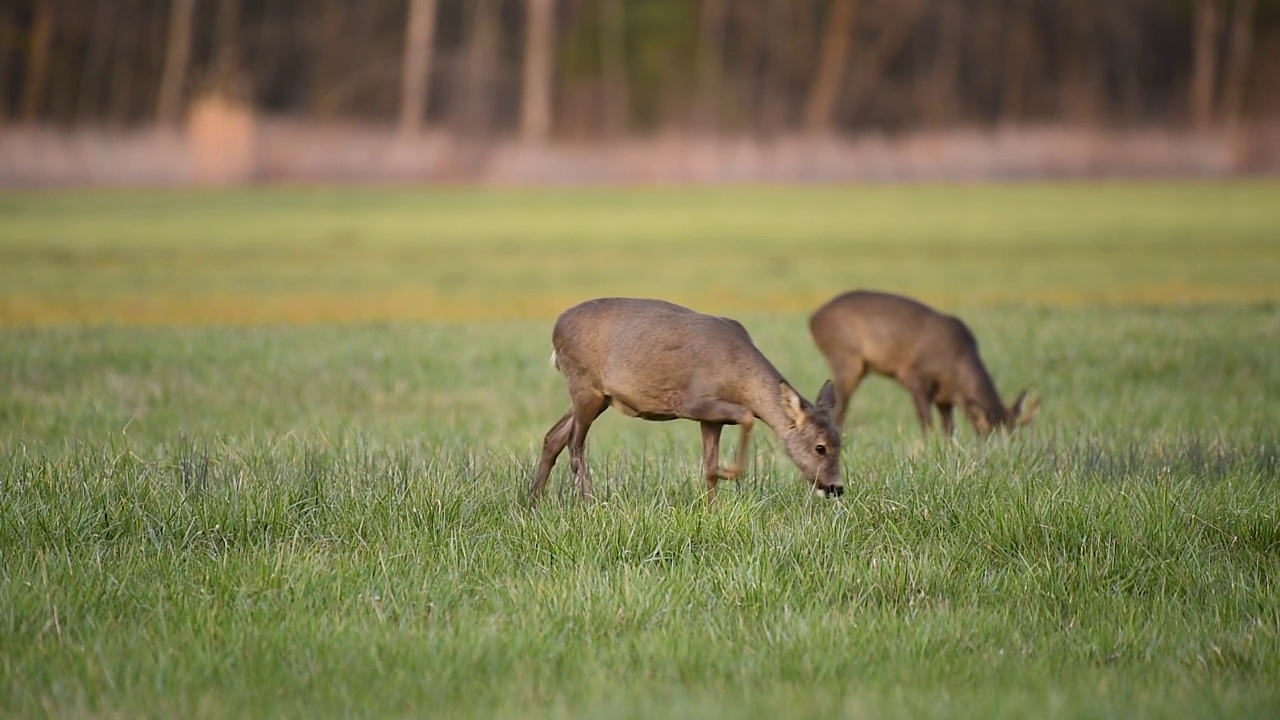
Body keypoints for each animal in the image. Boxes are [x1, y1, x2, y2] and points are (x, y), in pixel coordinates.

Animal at [524, 297, 844, 504]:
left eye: (841, 442)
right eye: (820, 447)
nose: (836, 487)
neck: (739, 376)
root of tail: (556, 329)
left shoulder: (712, 419)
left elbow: (708, 465)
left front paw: (712, 509)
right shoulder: (693, 402)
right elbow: (746, 416)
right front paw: (730, 472)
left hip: (599, 395)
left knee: (554, 436)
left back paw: (533, 502)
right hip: (584, 383)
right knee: (575, 443)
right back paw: (589, 504)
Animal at [814, 288, 1034, 435]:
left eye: (1016, 434)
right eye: (988, 433)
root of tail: (813, 319)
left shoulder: (944, 398)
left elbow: (949, 430)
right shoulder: (915, 378)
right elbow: (926, 423)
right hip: (846, 358)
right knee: (840, 403)